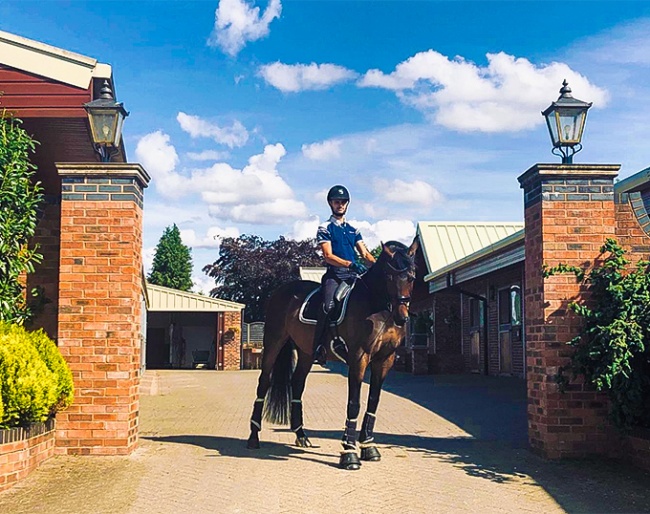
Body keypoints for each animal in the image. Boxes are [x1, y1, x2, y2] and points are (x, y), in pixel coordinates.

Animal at [246, 237, 418, 468]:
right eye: (389, 276)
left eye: (412, 277)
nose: (402, 317)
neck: (378, 308)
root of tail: (281, 291)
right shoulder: (359, 358)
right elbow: (354, 403)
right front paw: (350, 454)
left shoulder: (385, 359)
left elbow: (373, 401)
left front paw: (368, 447)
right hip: (274, 343)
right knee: (264, 383)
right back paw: (253, 437)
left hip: (306, 352)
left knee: (297, 384)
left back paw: (301, 436)